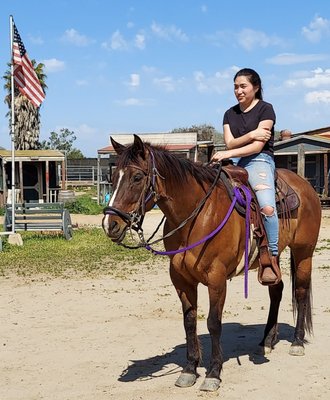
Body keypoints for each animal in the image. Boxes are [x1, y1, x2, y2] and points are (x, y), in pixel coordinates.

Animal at [102, 134, 320, 390]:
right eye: (113, 178)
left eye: (137, 177)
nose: (110, 224)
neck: (195, 218)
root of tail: (305, 186)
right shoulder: (181, 280)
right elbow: (189, 321)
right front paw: (189, 369)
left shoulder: (217, 279)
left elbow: (214, 322)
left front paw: (213, 373)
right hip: (271, 260)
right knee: (276, 290)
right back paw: (267, 340)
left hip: (304, 252)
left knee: (301, 292)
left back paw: (297, 342)